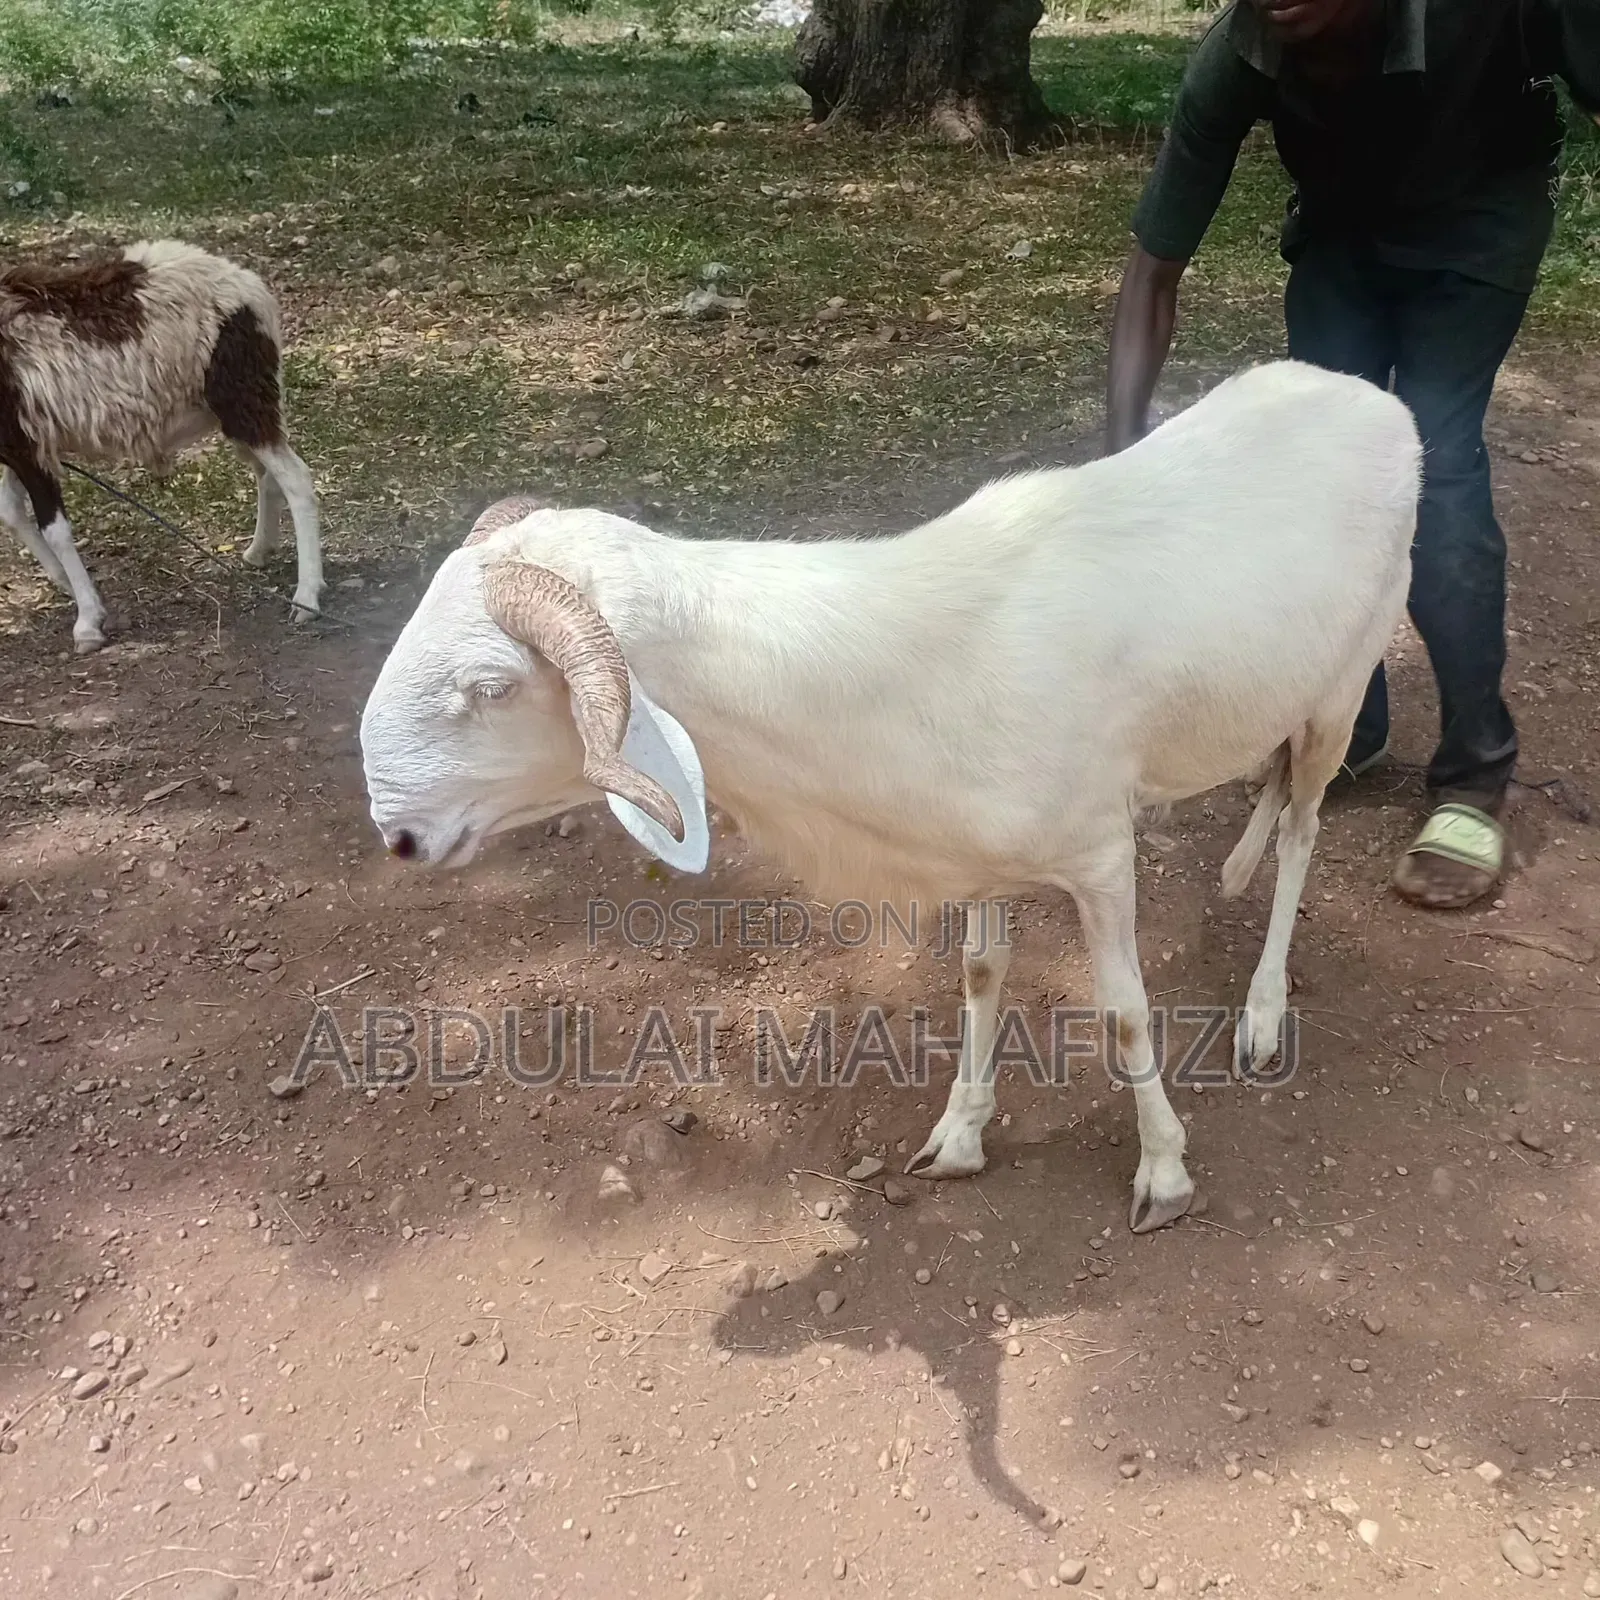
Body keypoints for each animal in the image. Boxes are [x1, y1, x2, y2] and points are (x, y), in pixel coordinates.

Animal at [0, 238, 322, 652]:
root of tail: (251, 289)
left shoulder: (27, 442)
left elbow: (53, 529)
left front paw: (87, 622)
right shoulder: (21, 444)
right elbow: (11, 511)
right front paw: (67, 585)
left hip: (244, 398)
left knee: (296, 478)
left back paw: (307, 597)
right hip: (240, 408)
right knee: (267, 475)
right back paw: (259, 552)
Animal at [358, 359, 1421, 1233]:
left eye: (491, 688)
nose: (396, 835)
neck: (893, 669)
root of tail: (1374, 397)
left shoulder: (1099, 854)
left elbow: (1122, 1011)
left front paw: (1164, 1174)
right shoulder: (984, 858)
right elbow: (982, 976)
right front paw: (959, 1136)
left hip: (1342, 689)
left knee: (1304, 829)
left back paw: (1264, 1011)